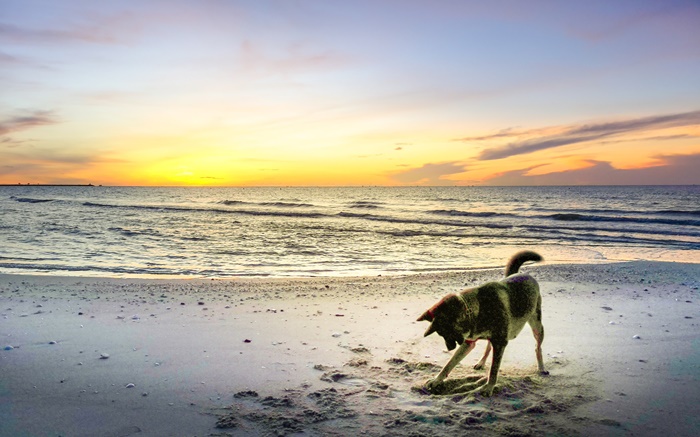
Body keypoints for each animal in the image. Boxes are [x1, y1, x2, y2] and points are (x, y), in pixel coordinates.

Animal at [416, 249, 548, 396]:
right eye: (442, 335)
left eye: (447, 333)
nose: (449, 348)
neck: (477, 308)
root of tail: (523, 274)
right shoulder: (469, 342)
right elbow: (450, 363)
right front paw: (437, 380)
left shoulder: (499, 342)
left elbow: (494, 370)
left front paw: (489, 387)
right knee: (488, 347)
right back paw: (481, 362)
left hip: (537, 325)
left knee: (538, 347)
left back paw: (541, 368)